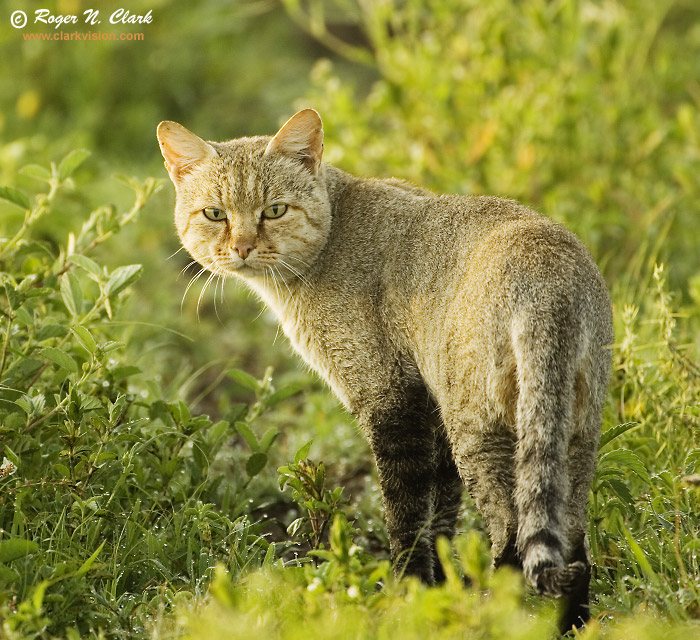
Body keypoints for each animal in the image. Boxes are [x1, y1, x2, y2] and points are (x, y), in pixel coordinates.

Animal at [157, 110, 612, 632]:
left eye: (274, 210)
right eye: (215, 214)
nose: (243, 248)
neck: (334, 231)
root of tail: (548, 279)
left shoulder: (390, 398)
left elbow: (406, 512)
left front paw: (407, 593)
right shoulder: (429, 406)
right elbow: (440, 511)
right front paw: (437, 587)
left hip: (481, 428)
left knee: (516, 531)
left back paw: (493, 608)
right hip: (572, 427)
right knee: (571, 542)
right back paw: (572, 624)